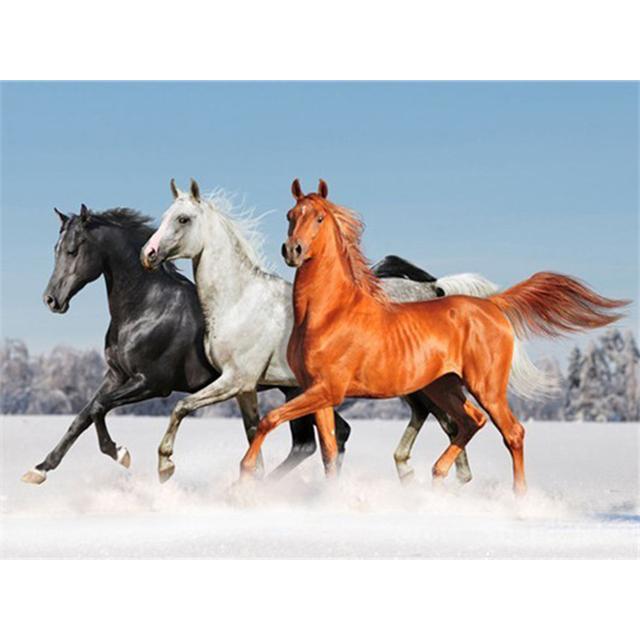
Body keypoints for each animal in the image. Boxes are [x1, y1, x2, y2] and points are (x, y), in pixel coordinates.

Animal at [21, 204, 354, 484]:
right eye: (56, 249)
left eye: (73, 250)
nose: (52, 300)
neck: (148, 306)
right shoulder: (116, 375)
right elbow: (84, 414)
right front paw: (39, 469)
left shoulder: (152, 383)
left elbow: (99, 408)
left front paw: (121, 453)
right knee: (324, 438)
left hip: (296, 390)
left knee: (317, 440)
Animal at [141, 179, 538, 484]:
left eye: (183, 218)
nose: (149, 254)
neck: (239, 299)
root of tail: (435, 289)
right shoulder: (246, 388)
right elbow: (253, 432)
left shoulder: (236, 380)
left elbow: (181, 407)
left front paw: (165, 465)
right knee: (447, 422)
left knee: (454, 423)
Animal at [239, 179, 628, 495]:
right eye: (290, 214)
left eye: (318, 218)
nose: (292, 250)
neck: (329, 313)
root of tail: (492, 305)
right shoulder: (316, 391)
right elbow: (329, 453)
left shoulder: (327, 389)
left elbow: (269, 420)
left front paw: (244, 475)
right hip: (444, 386)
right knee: (470, 421)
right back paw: (437, 475)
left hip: (485, 386)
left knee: (511, 432)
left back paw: (518, 500)